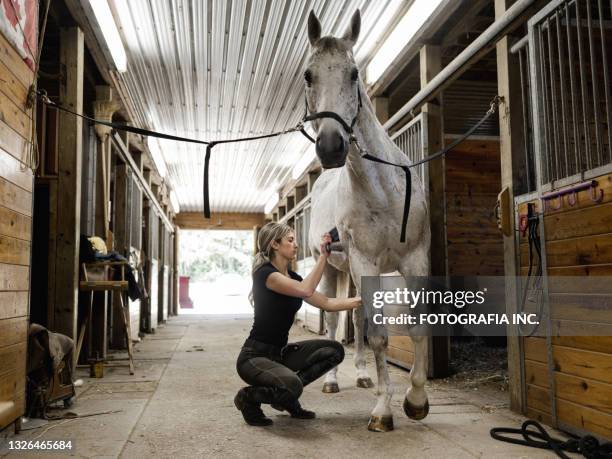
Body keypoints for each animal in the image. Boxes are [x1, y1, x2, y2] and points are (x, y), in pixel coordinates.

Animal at [306, 9, 430, 432]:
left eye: (354, 73)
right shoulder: (365, 263)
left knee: (355, 315)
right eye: (309, 75)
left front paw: (416, 400)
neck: (382, 191)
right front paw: (383, 409)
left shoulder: (415, 260)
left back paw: (360, 375)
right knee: (332, 319)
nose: (331, 147)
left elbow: (416, 325)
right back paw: (332, 382)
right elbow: (378, 335)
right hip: (332, 267)